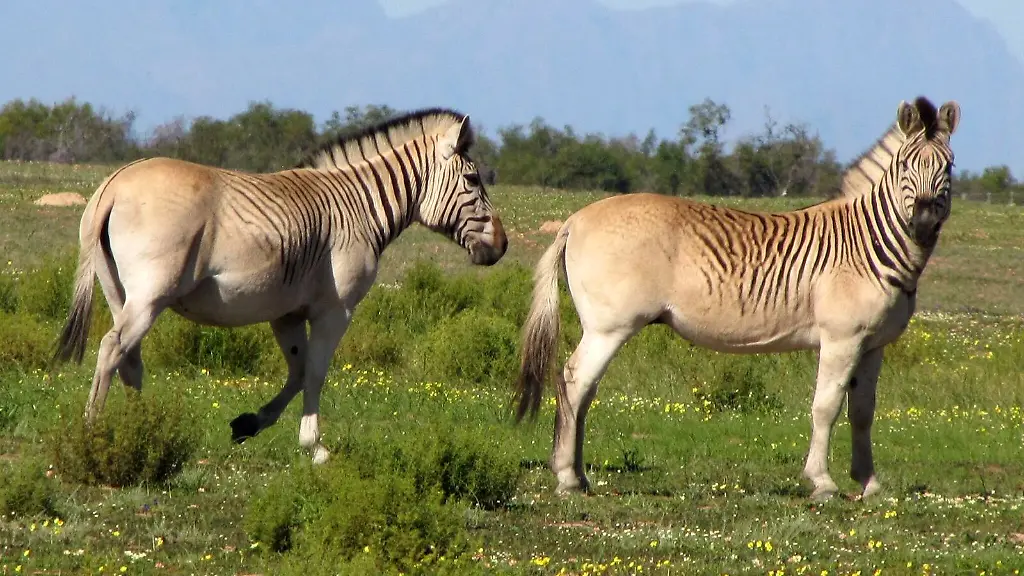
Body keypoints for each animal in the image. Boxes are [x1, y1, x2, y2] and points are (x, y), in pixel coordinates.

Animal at [52, 107, 508, 465]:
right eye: (472, 180)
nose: (501, 246)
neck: (358, 210)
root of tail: (114, 183)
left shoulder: (285, 312)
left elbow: (298, 371)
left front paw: (248, 423)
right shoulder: (336, 310)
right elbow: (317, 372)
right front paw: (315, 447)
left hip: (119, 292)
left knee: (129, 357)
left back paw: (141, 428)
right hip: (150, 295)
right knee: (113, 348)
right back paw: (93, 433)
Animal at [513, 97, 960, 501]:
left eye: (948, 167)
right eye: (905, 166)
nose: (922, 223)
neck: (868, 245)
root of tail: (575, 219)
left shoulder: (873, 345)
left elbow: (863, 413)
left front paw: (869, 484)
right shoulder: (841, 339)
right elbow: (826, 406)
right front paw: (822, 482)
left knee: (582, 388)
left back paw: (579, 476)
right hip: (610, 326)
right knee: (575, 381)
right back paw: (568, 478)